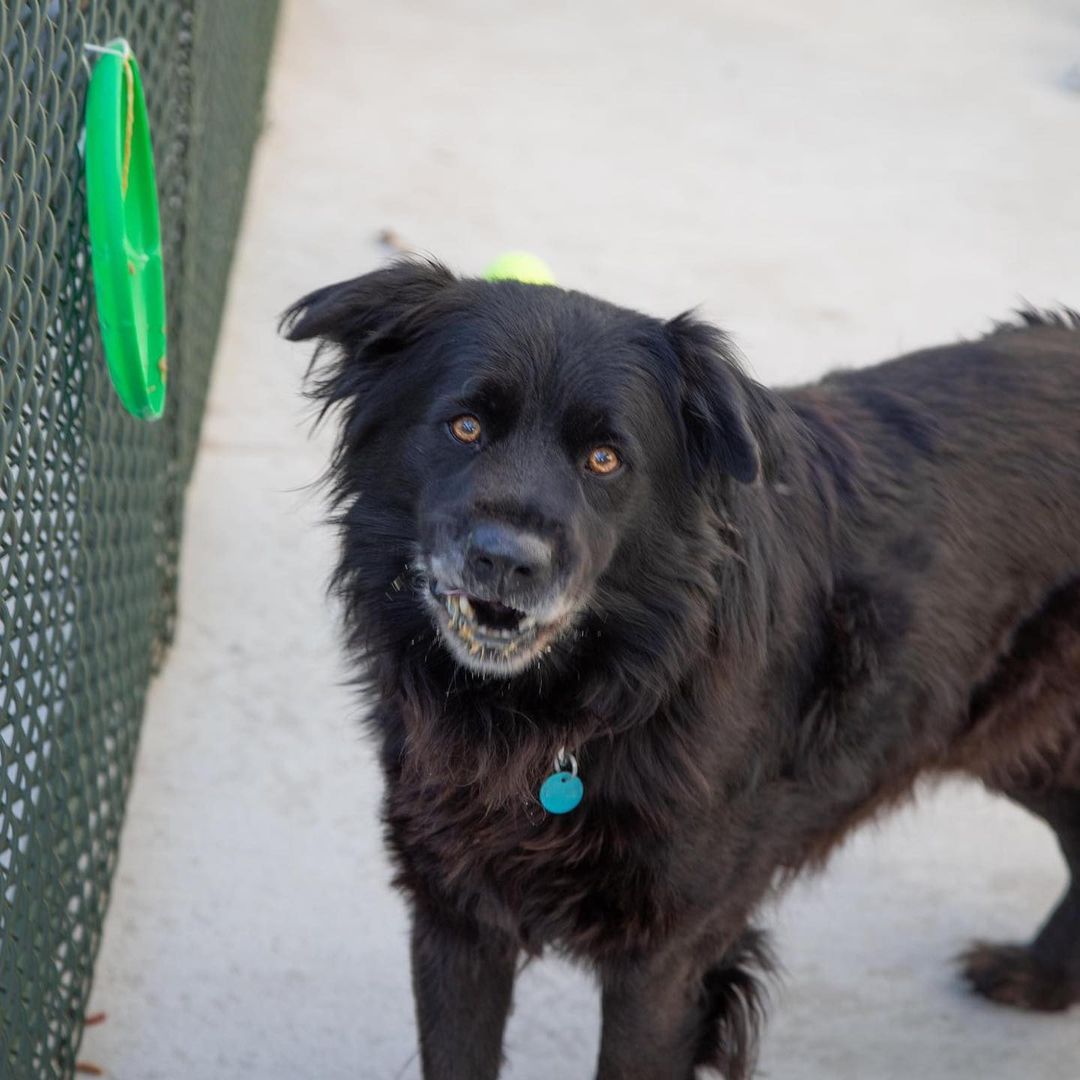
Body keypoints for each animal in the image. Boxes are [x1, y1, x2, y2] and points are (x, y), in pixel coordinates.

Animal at [285, 263, 1080, 1080]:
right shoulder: (455, 915)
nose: (506, 562)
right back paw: (1046, 980)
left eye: (605, 458)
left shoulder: (667, 960)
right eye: (465, 426)